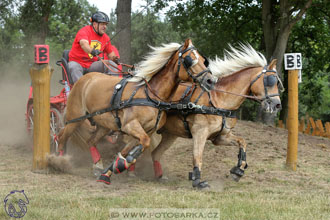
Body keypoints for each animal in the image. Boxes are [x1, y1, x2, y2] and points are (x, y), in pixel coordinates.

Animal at [57, 38, 218, 184]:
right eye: (189, 60)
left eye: (203, 60)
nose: (211, 80)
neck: (151, 95)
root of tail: (85, 78)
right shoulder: (130, 125)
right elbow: (141, 145)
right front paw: (122, 165)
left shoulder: (146, 130)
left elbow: (130, 149)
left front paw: (112, 170)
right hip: (74, 118)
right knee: (61, 136)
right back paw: (59, 160)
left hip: (104, 125)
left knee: (91, 141)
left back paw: (97, 166)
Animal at [127, 43, 284, 189]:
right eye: (270, 81)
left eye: (277, 83)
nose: (277, 104)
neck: (219, 100)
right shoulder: (200, 132)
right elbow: (197, 156)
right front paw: (197, 181)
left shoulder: (221, 137)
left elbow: (242, 142)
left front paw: (238, 170)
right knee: (134, 145)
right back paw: (130, 170)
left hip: (169, 134)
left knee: (155, 153)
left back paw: (159, 175)